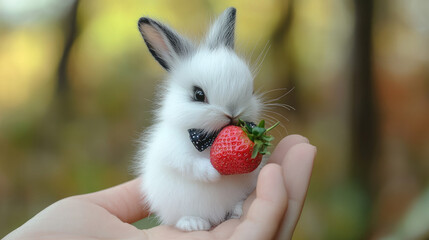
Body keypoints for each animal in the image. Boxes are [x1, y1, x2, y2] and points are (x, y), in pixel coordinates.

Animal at [137, 7, 264, 232]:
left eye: (251, 90)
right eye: (198, 94)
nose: (232, 113)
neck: (211, 138)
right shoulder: (173, 153)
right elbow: (189, 164)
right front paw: (214, 174)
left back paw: (237, 210)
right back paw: (193, 224)